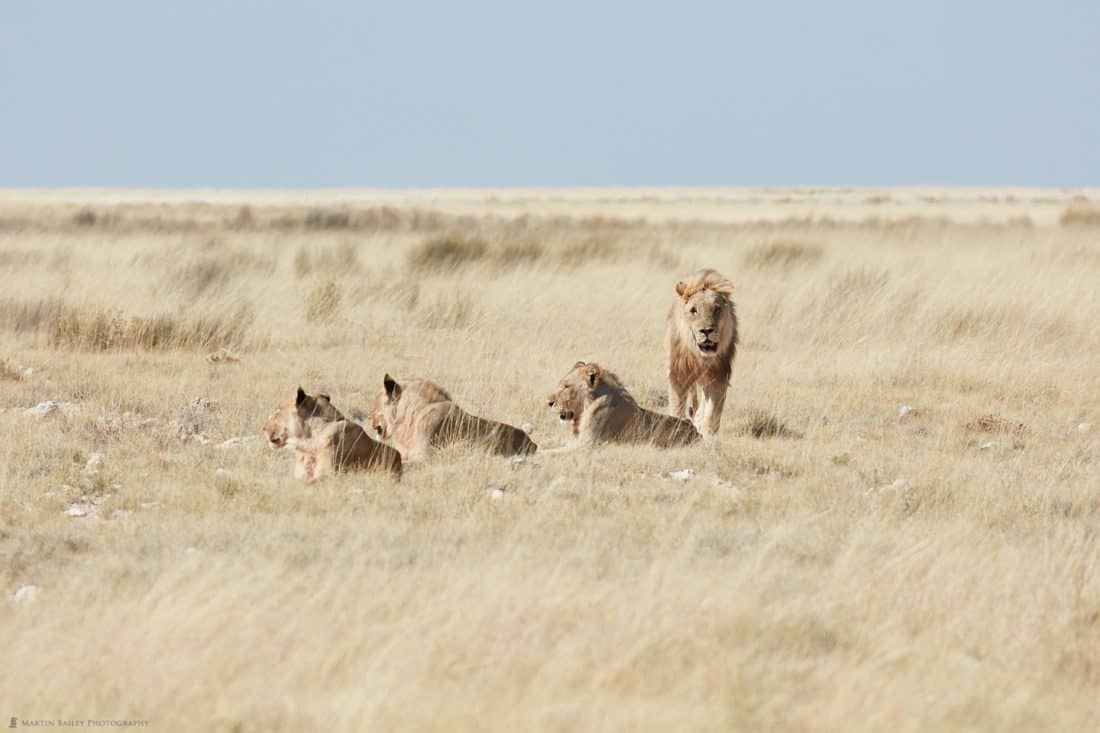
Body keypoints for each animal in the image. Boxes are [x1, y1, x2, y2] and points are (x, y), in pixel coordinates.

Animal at [660, 269, 739, 435]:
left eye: (716, 309)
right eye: (693, 310)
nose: (706, 330)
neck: (700, 358)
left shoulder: (718, 376)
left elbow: (712, 414)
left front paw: (706, 435)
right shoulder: (678, 375)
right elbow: (677, 407)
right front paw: (678, 427)